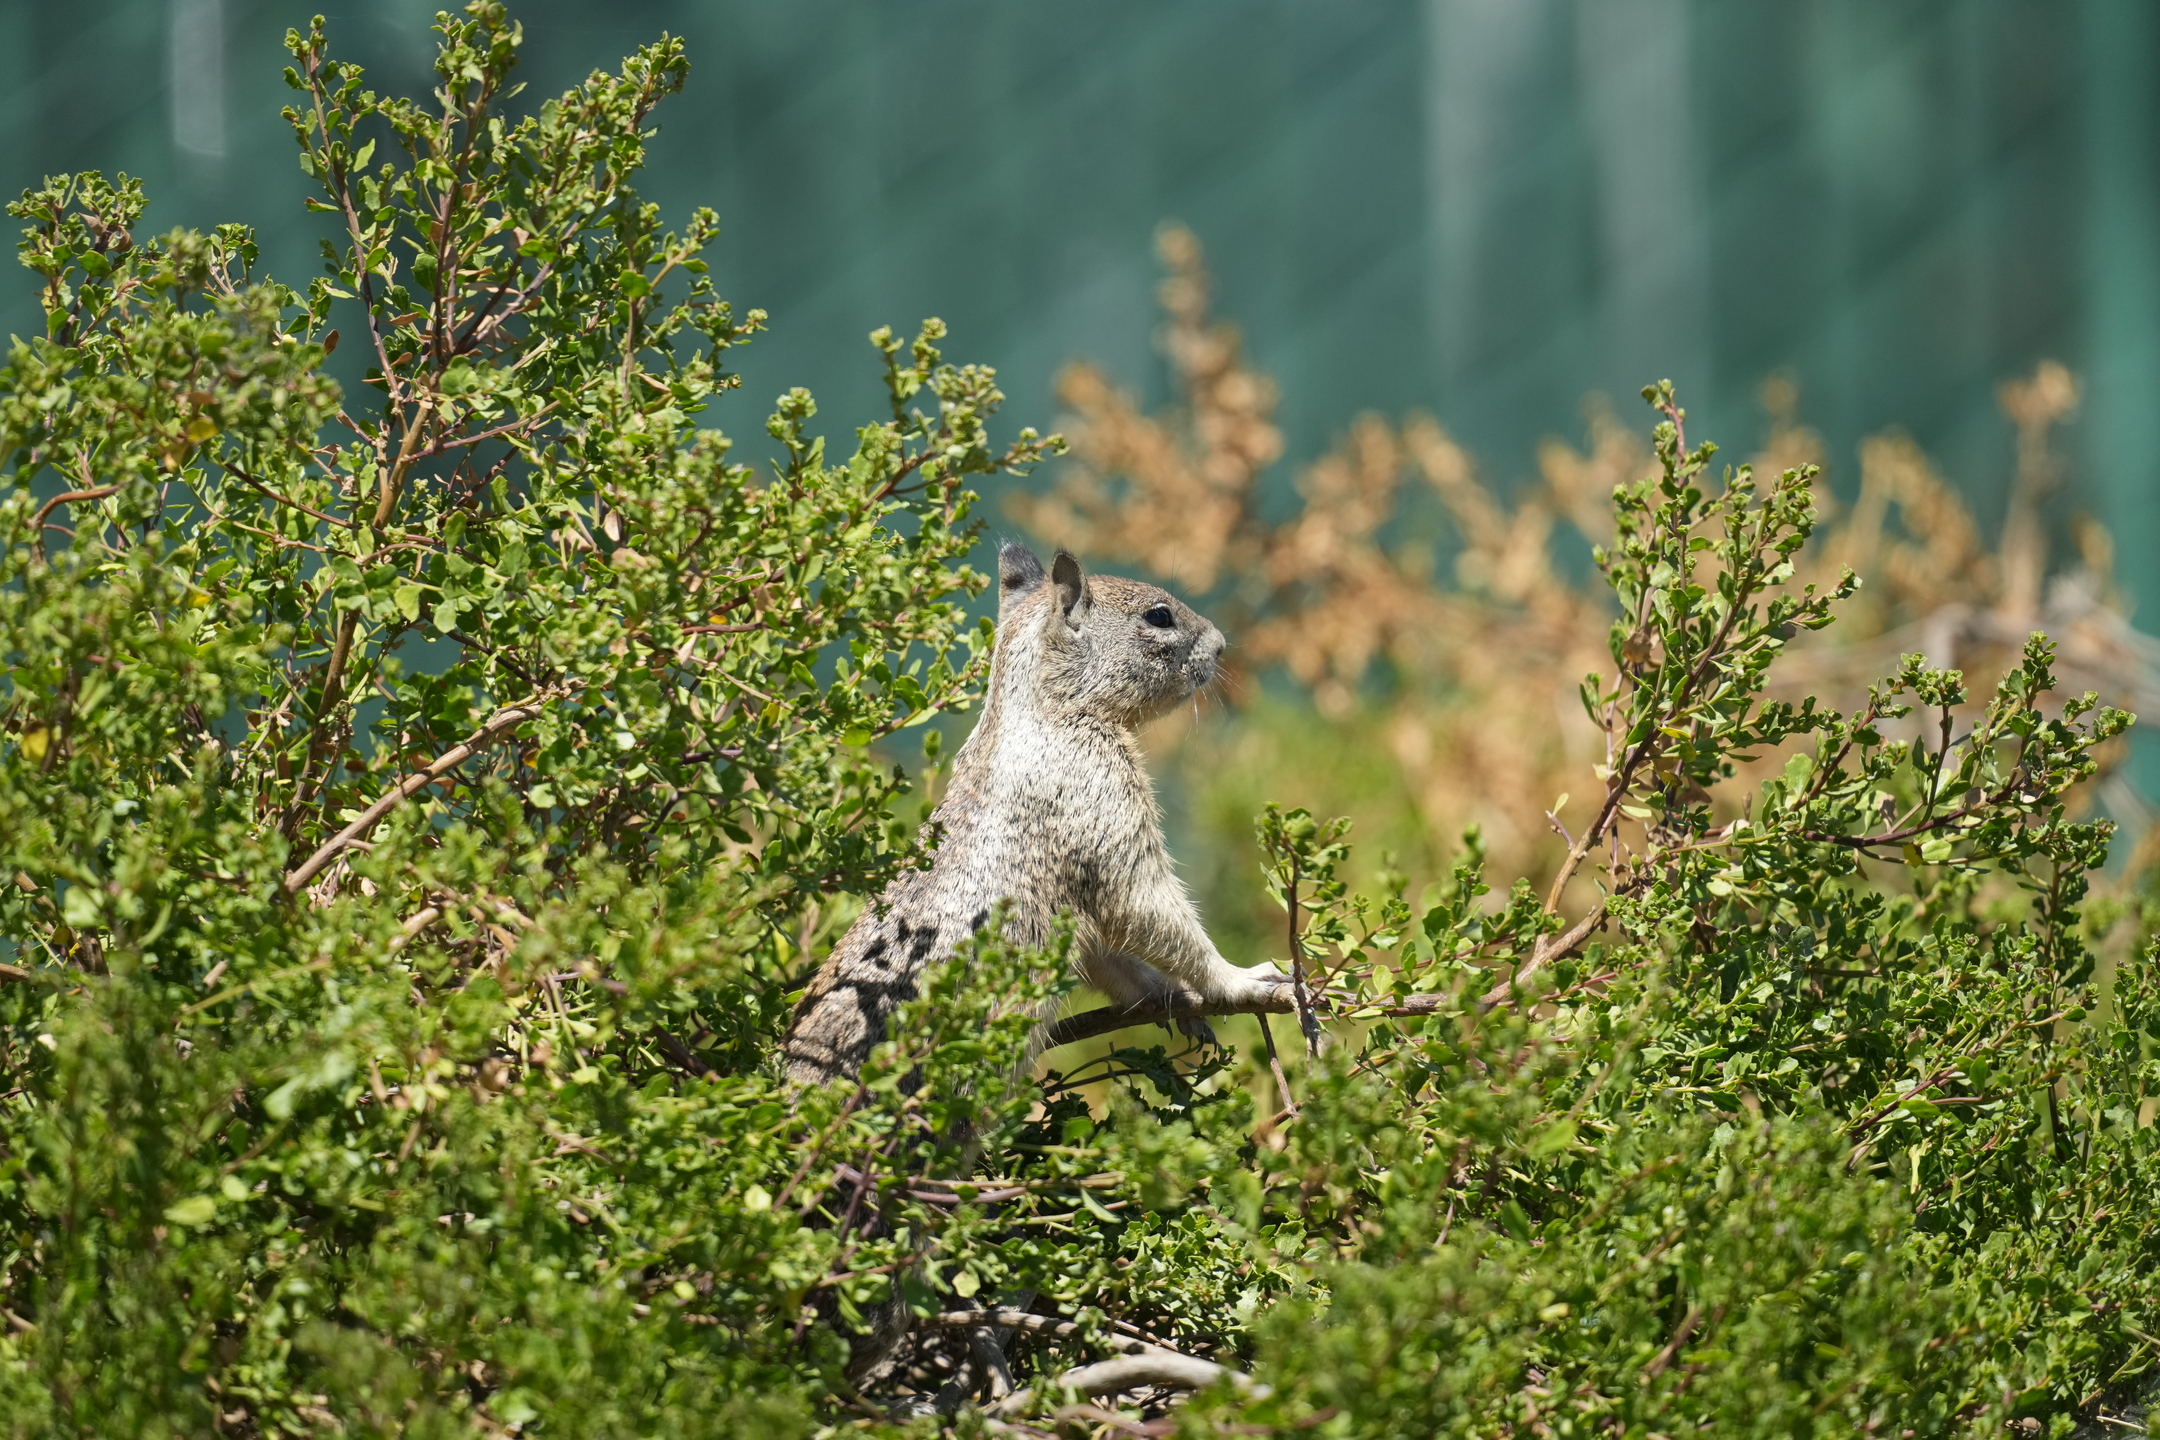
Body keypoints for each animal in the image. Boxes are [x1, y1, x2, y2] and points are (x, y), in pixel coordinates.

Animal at [782, 542, 1286, 1084]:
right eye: (1159, 617)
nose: (1221, 645)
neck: (1046, 713)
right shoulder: (1105, 815)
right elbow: (1149, 913)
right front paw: (1240, 979)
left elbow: (1114, 962)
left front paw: (1175, 998)